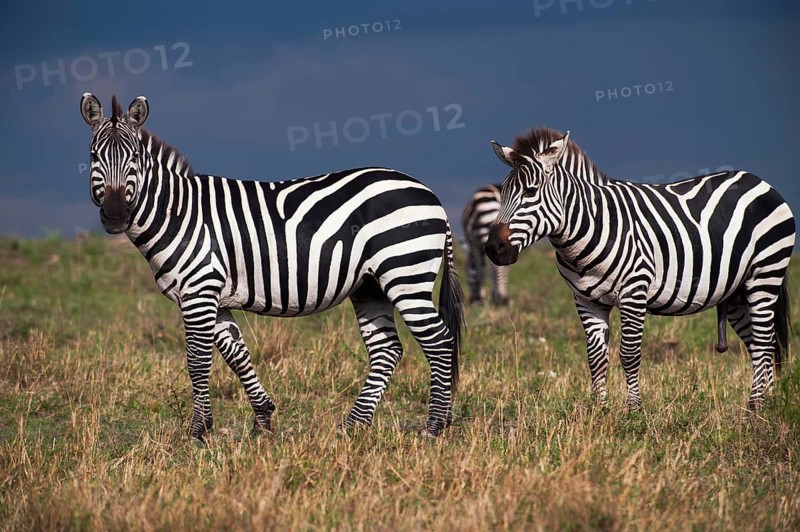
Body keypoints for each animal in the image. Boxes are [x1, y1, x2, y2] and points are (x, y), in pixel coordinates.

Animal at [79, 93, 464, 444]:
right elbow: (237, 355)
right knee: (387, 350)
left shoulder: (199, 291)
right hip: (370, 285)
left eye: (134, 158)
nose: (115, 216)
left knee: (439, 341)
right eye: (94, 157)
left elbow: (198, 361)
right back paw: (351, 427)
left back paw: (434, 428)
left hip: (405, 274)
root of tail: (429, 194)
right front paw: (263, 420)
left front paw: (198, 432)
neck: (179, 213)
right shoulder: (215, 297)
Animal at [485, 127, 794, 412]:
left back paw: (754, 409)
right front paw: (600, 412)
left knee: (764, 343)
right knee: (761, 346)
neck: (589, 227)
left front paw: (634, 412)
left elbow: (629, 354)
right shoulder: (586, 300)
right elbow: (595, 358)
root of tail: (759, 181)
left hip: (765, 275)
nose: (494, 249)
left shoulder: (634, 292)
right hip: (738, 292)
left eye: (530, 192)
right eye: (504, 193)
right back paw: (762, 407)